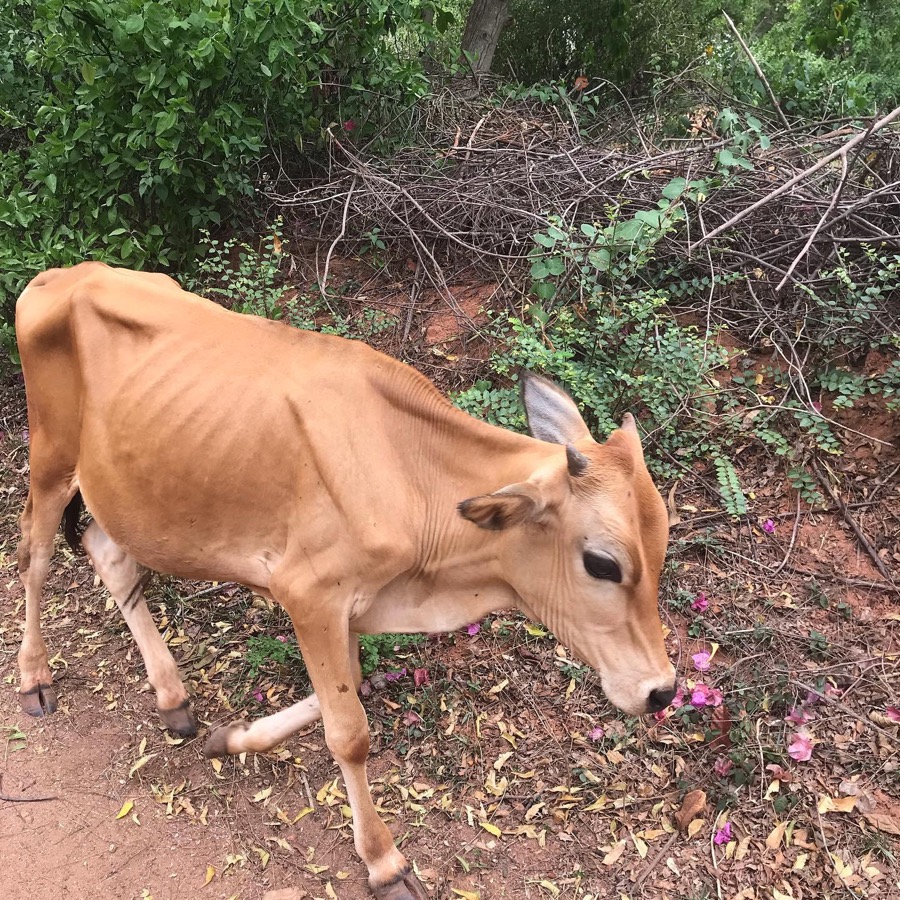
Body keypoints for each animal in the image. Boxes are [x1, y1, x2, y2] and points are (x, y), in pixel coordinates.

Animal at [14, 262, 675, 900]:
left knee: (108, 554)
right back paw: (34, 678)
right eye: (603, 564)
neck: (410, 478)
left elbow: (348, 688)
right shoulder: (309, 595)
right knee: (33, 558)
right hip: (50, 459)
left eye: (663, 544)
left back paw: (173, 698)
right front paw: (384, 862)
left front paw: (231, 737)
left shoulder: (353, 606)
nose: (663, 691)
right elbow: (349, 732)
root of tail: (63, 276)